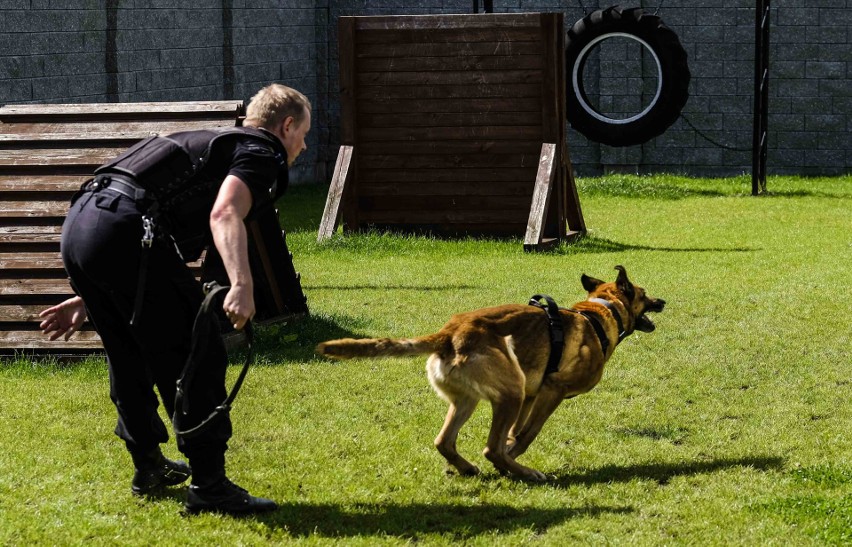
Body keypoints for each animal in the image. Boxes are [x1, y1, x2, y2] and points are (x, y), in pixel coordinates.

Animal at [318, 268, 664, 482]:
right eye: (644, 293)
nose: (663, 301)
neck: (600, 314)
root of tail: (447, 334)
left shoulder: (530, 395)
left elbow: (516, 433)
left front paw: (509, 452)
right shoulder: (551, 390)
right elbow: (527, 434)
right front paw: (514, 456)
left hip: (472, 399)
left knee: (444, 441)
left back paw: (471, 468)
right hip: (509, 392)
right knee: (490, 448)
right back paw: (524, 471)